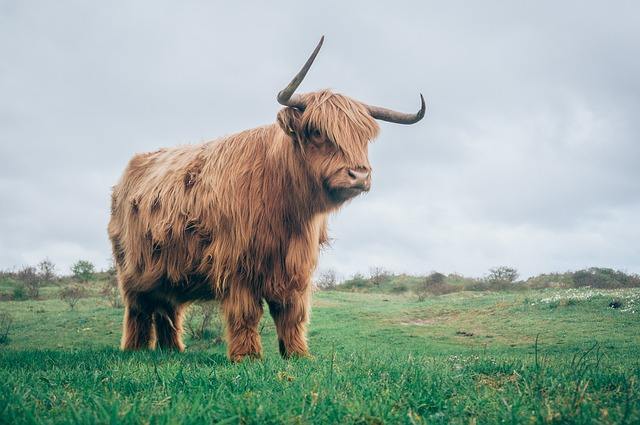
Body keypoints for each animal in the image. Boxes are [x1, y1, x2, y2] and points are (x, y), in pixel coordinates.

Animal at [107, 37, 424, 362]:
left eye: (363, 138)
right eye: (317, 131)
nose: (359, 175)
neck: (286, 208)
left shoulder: (296, 267)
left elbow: (292, 313)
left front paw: (297, 354)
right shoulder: (237, 263)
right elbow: (246, 313)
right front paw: (247, 357)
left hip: (167, 271)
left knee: (167, 309)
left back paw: (172, 350)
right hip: (132, 268)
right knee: (139, 309)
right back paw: (135, 349)